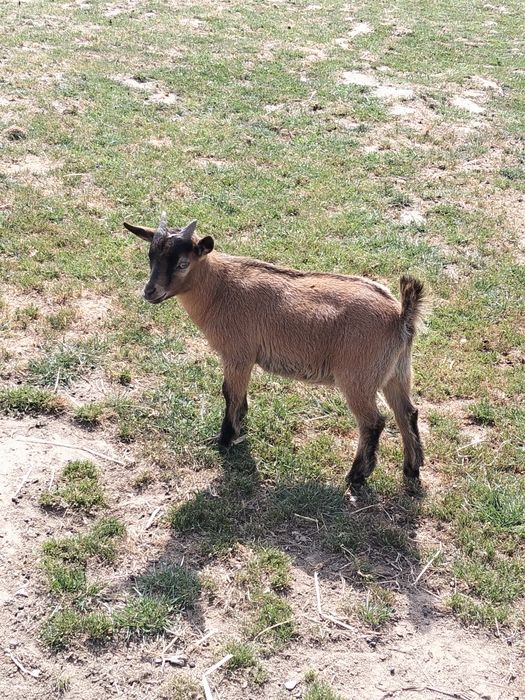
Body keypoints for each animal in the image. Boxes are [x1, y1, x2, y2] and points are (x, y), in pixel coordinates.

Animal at [124, 214, 426, 485]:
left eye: (182, 263)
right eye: (151, 256)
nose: (150, 292)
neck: (218, 289)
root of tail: (400, 315)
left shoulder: (238, 354)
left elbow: (230, 394)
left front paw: (224, 440)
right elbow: (239, 396)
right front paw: (240, 425)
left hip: (358, 377)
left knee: (373, 422)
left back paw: (357, 476)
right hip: (396, 372)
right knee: (407, 413)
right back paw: (412, 469)